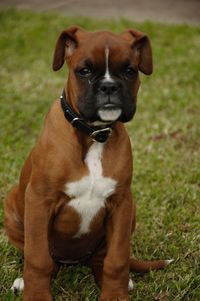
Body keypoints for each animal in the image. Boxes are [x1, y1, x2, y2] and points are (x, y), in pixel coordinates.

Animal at [3, 26, 171, 300]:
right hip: (13, 208)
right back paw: (25, 281)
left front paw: (115, 294)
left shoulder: (122, 203)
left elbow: (117, 259)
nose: (109, 86)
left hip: (130, 213)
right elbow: (37, 258)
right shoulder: (39, 201)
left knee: (101, 259)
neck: (93, 134)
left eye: (129, 70)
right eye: (84, 71)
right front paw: (36, 293)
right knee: (47, 260)